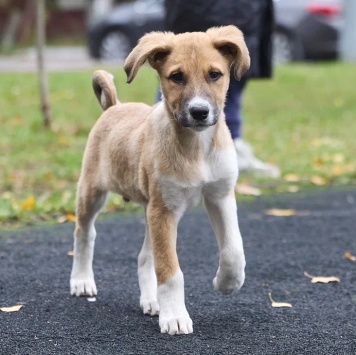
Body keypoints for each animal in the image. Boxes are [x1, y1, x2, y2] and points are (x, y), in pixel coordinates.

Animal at [70, 25, 250, 336]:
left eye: (215, 74)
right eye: (176, 76)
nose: (199, 112)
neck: (197, 149)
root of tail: (114, 107)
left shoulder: (220, 196)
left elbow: (233, 250)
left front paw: (225, 283)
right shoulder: (164, 211)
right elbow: (170, 270)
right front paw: (175, 316)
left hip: (148, 209)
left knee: (145, 257)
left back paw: (151, 301)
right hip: (93, 191)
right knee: (84, 233)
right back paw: (81, 280)